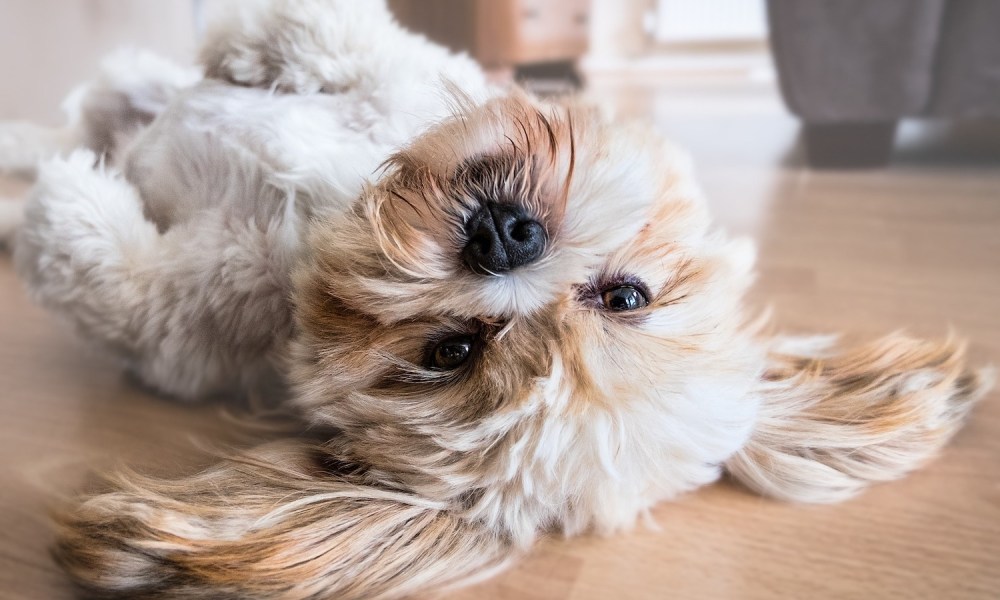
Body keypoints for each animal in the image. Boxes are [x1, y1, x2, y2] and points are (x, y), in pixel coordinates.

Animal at [0, 1, 988, 600]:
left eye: (451, 352)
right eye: (626, 296)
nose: (505, 237)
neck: (322, 215)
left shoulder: (184, 329)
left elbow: (115, 278)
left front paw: (64, 207)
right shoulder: (405, 80)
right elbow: (350, 46)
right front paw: (258, 40)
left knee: (74, 141)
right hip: (126, 86)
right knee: (93, 103)